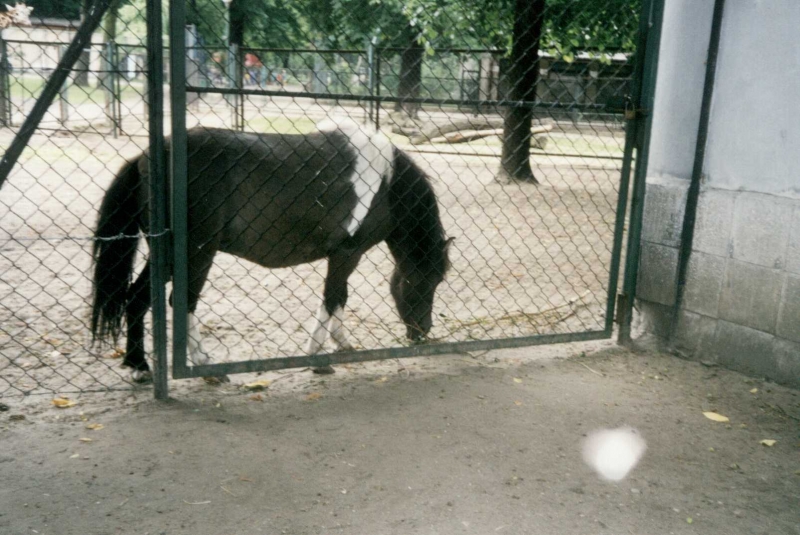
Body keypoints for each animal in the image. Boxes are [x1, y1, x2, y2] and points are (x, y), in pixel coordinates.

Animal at [91, 119, 454, 384]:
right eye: (426, 280)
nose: (422, 331)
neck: (385, 183)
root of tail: (146, 158)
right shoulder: (346, 253)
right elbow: (333, 297)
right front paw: (318, 356)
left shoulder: (347, 255)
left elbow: (339, 298)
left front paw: (340, 344)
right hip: (194, 254)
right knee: (180, 302)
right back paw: (204, 367)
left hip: (165, 256)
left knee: (137, 298)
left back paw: (139, 366)